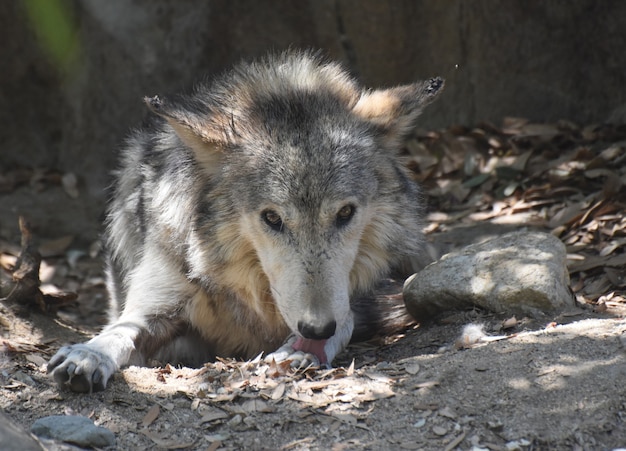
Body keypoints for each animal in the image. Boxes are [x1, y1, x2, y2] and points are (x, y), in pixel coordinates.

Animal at [46, 51, 442, 394]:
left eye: (344, 213)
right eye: (272, 218)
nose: (316, 327)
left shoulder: (350, 301)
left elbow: (343, 322)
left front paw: (301, 350)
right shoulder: (159, 308)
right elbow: (121, 330)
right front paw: (89, 354)